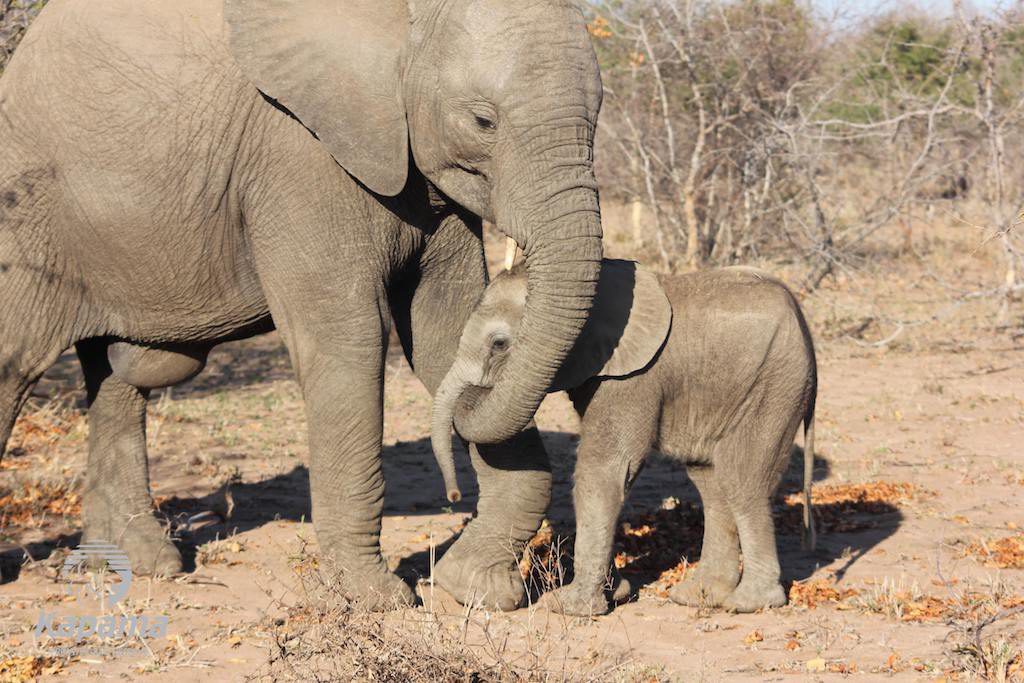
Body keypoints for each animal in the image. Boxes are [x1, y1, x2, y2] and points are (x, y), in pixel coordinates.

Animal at [0, 0, 605, 611]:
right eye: (483, 121)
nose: (454, 495)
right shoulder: (298, 154)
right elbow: (350, 337)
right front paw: (377, 598)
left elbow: (443, 329)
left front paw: (474, 589)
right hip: (28, 206)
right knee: (17, 362)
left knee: (114, 377)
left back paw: (136, 566)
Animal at [432, 261, 818, 615]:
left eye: (499, 344)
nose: (454, 495)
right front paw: (615, 592)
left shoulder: (632, 378)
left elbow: (603, 468)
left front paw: (569, 607)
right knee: (709, 480)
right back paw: (698, 597)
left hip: (774, 384)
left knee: (740, 478)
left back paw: (750, 603)